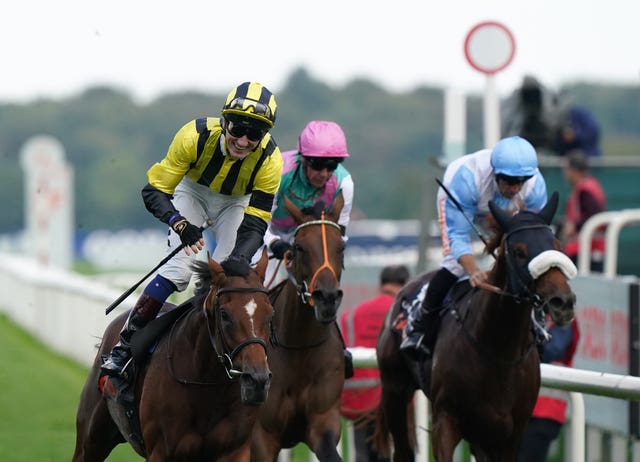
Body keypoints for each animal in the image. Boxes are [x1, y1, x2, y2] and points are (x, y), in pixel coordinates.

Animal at [74, 253, 274, 462]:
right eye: (225, 314)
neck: (207, 385)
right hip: (90, 440)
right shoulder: (161, 451)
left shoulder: (235, 450)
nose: (257, 380)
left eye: (270, 314)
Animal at [252, 195, 348, 462]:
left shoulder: (324, 422)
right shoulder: (262, 436)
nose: (327, 298)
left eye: (341, 247)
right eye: (300, 247)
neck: (298, 348)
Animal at [376, 193, 580, 460]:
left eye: (557, 245)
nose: (562, 301)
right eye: (519, 251)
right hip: (395, 389)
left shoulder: (508, 435)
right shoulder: (445, 421)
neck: (498, 351)